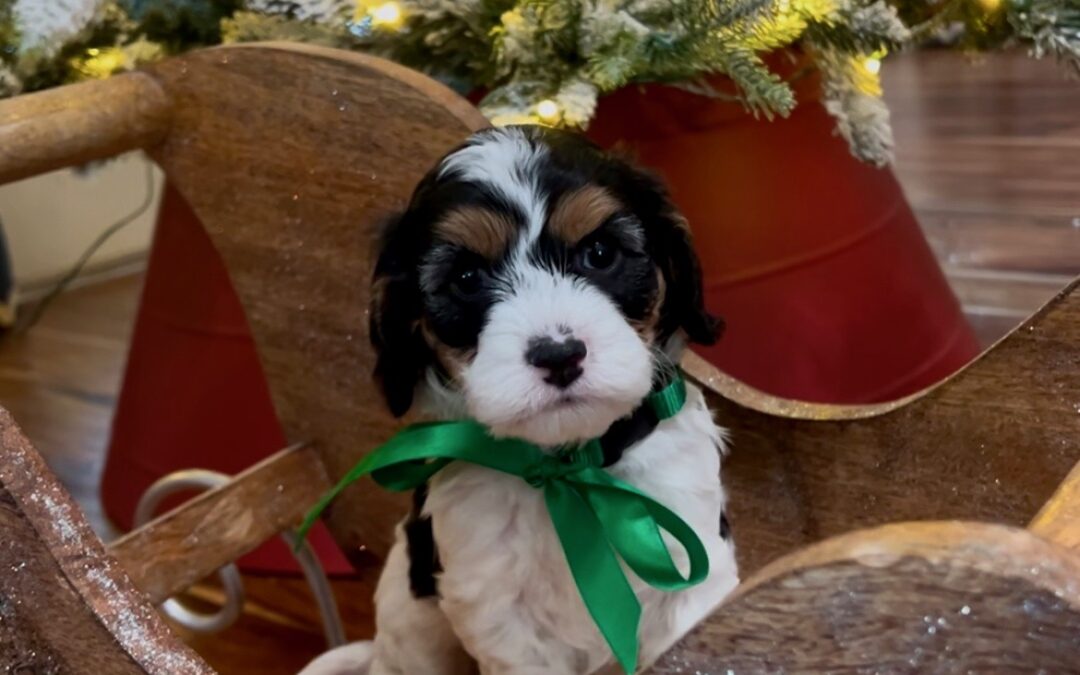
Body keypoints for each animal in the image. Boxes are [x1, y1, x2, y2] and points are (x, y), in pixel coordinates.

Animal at [304, 126, 743, 673]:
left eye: (601, 253)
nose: (559, 355)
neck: (568, 468)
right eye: (467, 279)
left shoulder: (690, 566)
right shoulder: (500, 614)